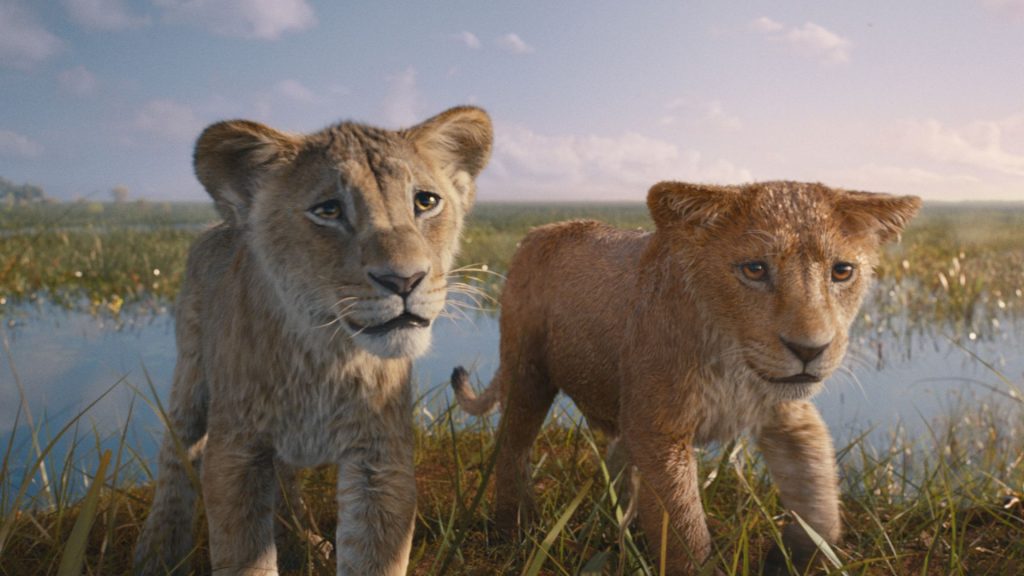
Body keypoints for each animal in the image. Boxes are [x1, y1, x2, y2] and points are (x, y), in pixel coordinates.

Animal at [132, 106, 493, 576]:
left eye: (425, 201)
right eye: (329, 210)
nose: (405, 280)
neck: (326, 355)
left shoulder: (380, 460)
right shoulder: (236, 453)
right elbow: (242, 555)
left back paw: (302, 540)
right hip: (190, 373)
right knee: (177, 455)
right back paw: (157, 552)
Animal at [452, 180, 920, 574]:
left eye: (842, 272)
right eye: (754, 269)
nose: (809, 351)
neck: (733, 363)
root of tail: (540, 230)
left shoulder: (788, 417)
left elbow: (819, 498)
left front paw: (796, 556)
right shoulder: (660, 430)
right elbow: (685, 530)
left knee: (619, 461)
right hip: (527, 372)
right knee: (512, 447)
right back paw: (515, 530)